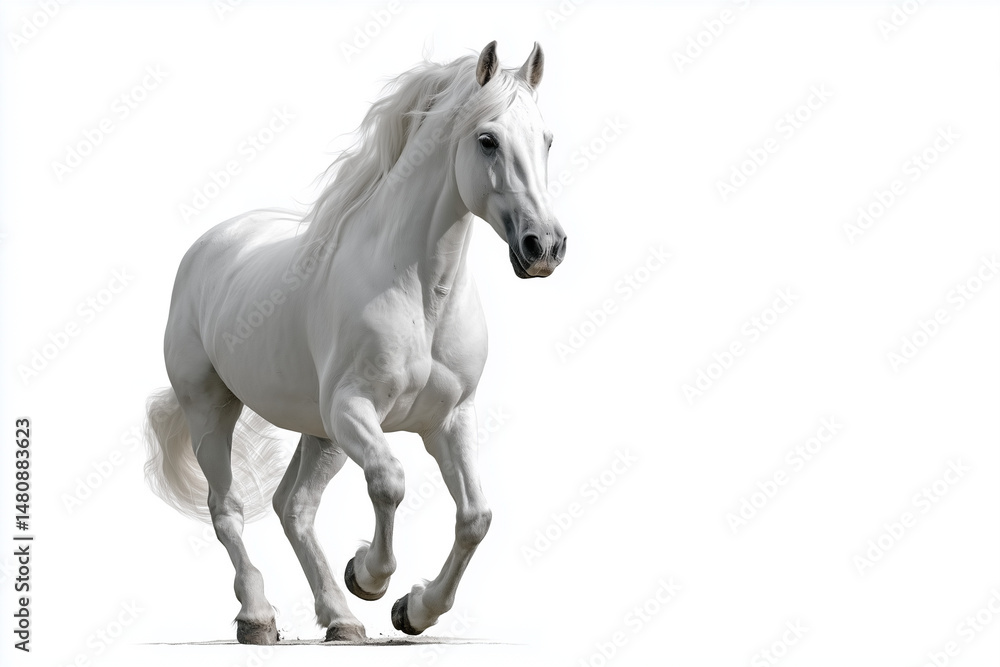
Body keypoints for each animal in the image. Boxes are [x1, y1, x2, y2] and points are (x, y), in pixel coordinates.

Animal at [144, 40, 566, 645]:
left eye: (547, 139)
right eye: (488, 139)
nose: (545, 247)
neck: (420, 292)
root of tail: (211, 244)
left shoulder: (450, 419)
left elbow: (475, 517)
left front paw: (413, 610)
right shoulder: (353, 408)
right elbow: (390, 482)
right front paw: (369, 576)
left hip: (320, 433)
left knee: (293, 506)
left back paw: (340, 619)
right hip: (213, 409)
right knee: (227, 508)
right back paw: (259, 616)